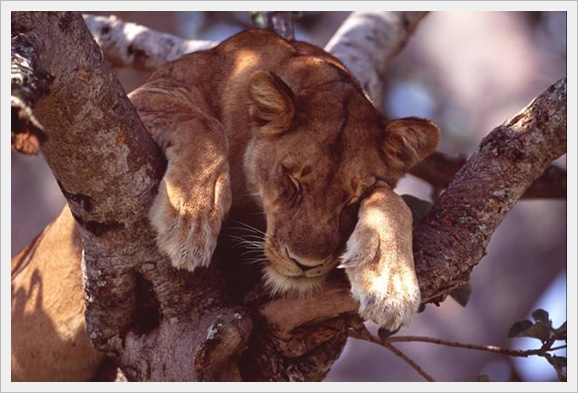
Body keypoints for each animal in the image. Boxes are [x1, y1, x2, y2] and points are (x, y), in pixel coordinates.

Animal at [11, 27, 436, 380]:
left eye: (352, 200)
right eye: (292, 181)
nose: (305, 264)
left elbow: (391, 198)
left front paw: (391, 282)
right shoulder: (130, 101)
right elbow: (204, 124)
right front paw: (191, 221)